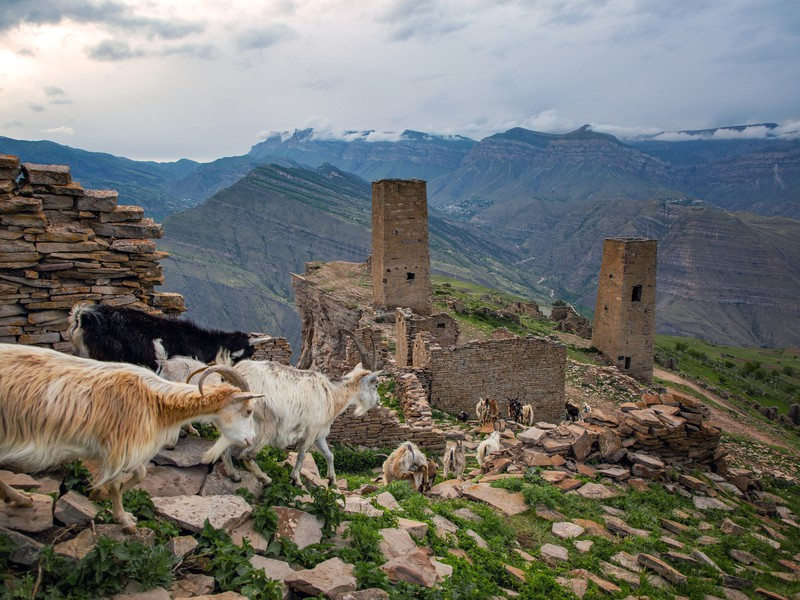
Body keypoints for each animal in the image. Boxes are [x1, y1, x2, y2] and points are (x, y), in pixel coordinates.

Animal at [0, 344, 258, 532]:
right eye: (248, 410)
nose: (250, 441)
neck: (155, 399)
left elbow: (139, 474)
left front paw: (99, 494)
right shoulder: (119, 445)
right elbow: (117, 481)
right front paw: (124, 520)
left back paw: (20, 499)